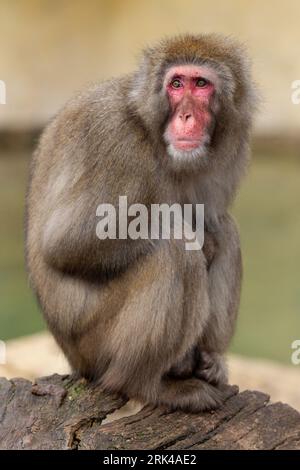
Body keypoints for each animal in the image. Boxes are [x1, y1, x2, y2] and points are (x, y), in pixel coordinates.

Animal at [24, 34, 256, 412]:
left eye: (201, 84)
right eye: (176, 84)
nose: (187, 116)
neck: (148, 126)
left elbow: (212, 217)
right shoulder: (117, 144)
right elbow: (67, 244)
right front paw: (197, 238)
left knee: (226, 230)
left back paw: (207, 361)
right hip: (93, 344)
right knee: (176, 253)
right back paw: (146, 385)